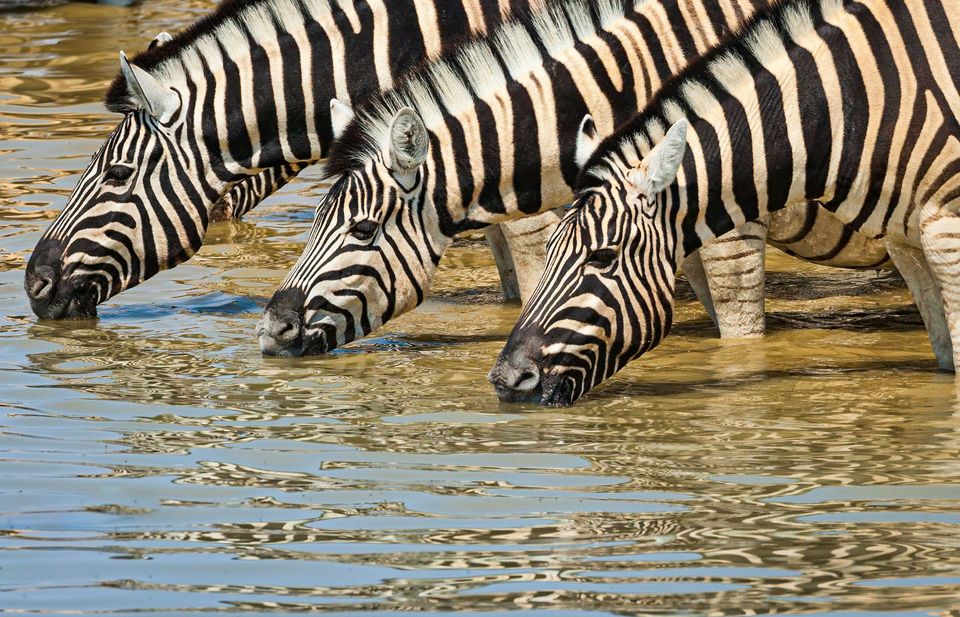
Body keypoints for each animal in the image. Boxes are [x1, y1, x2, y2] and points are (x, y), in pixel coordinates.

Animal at [489, 0, 960, 406]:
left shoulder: (945, 231)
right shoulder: (905, 243)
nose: (506, 380)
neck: (850, 103)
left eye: (603, 256)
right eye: (551, 250)